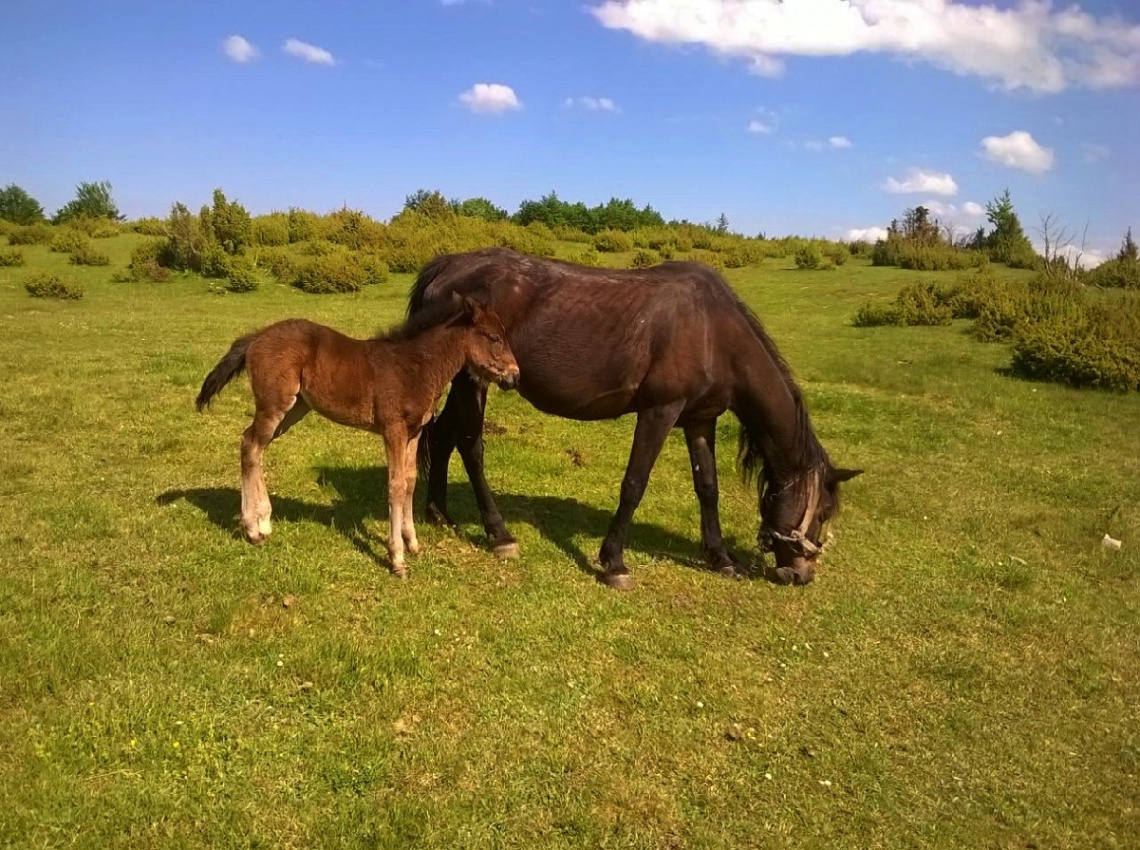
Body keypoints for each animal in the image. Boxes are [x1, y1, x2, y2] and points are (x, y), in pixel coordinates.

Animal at [194, 296, 517, 576]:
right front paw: (396, 558)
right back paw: (251, 528)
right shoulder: (393, 430)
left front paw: (412, 543)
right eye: (494, 338)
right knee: (250, 445)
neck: (415, 366)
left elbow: (411, 481)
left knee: (254, 446)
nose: (515, 376)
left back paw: (263, 523)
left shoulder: (414, 432)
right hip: (275, 404)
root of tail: (256, 337)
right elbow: (396, 485)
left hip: (293, 409)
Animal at [405, 248, 857, 587]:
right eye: (822, 513)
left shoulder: (700, 419)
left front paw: (721, 558)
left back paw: (438, 513)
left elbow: (708, 488)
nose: (801, 574)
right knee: (470, 445)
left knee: (441, 436)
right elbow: (634, 484)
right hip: (473, 381)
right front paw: (614, 563)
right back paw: (499, 534)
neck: (713, 330)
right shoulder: (660, 412)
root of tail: (448, 266)